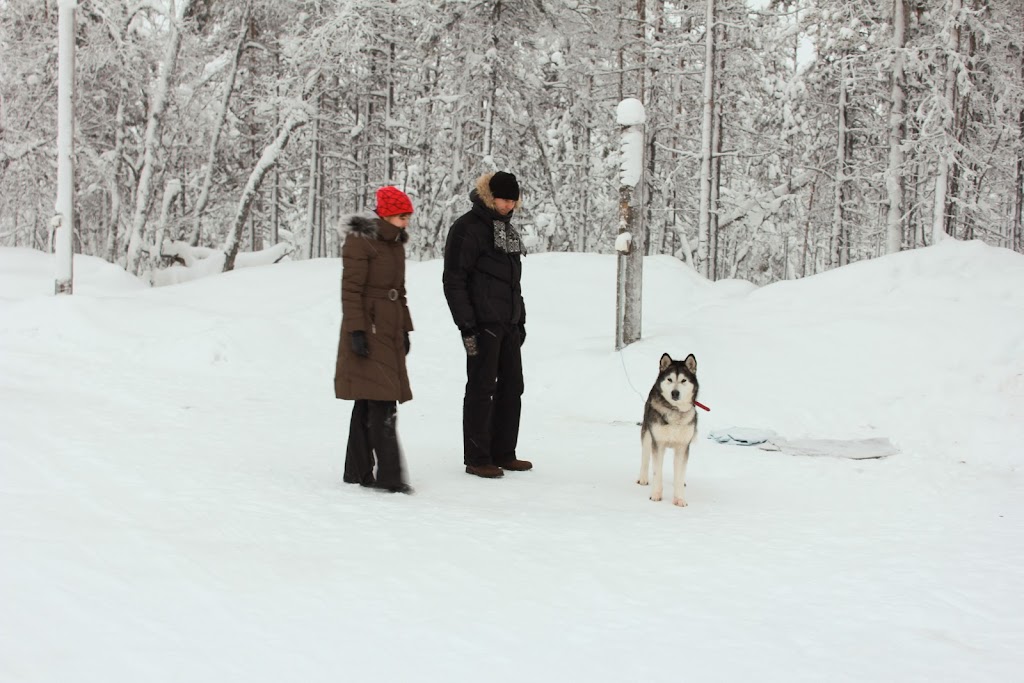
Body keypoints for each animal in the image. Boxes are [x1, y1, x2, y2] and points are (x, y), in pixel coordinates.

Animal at [634, 352, 700, 507]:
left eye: (683, 380)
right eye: (670, 379)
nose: (675, 393)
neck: (674, 410)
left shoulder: (683, 446)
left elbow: (679, 473)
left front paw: (679, 498)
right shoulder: (658, 443)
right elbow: (657, 471)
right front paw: (656, 495)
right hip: (647, 434)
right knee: (645, 456)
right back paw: (643, 478)